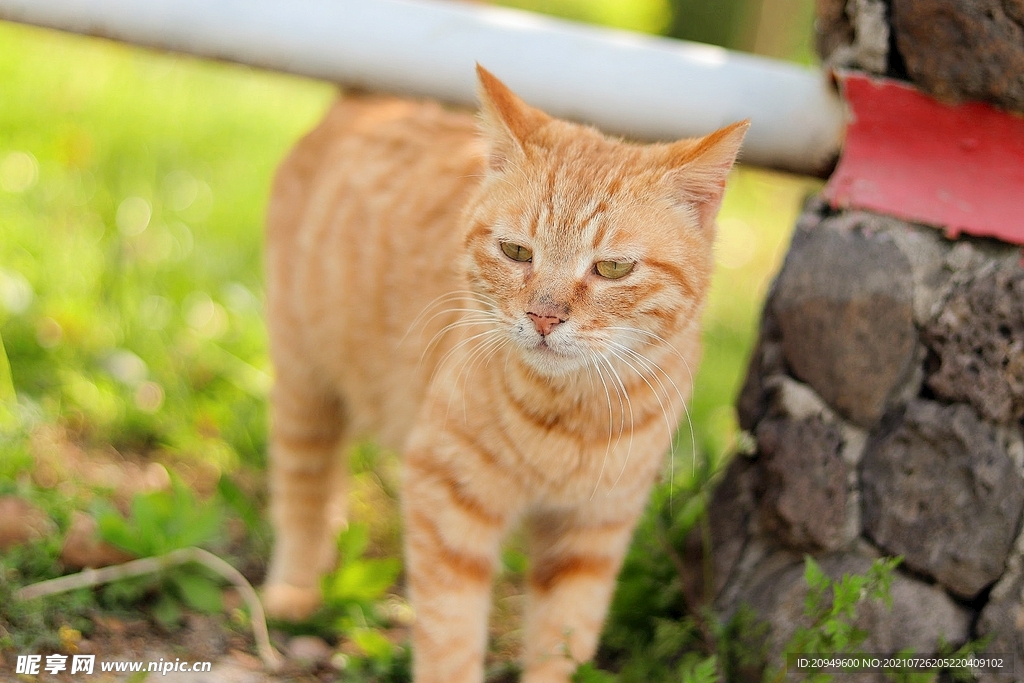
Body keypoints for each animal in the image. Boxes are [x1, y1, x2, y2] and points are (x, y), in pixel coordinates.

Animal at [262, 65, 745, 683]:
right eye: (516, 252)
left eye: (613, 268)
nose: (544, 316)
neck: (571, 417)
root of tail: (371, 102)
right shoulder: (445, 499)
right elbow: (449, 635)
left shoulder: (592, 534)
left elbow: (564, 640)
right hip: (307, 381)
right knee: (304, 485)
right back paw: (295, 586)